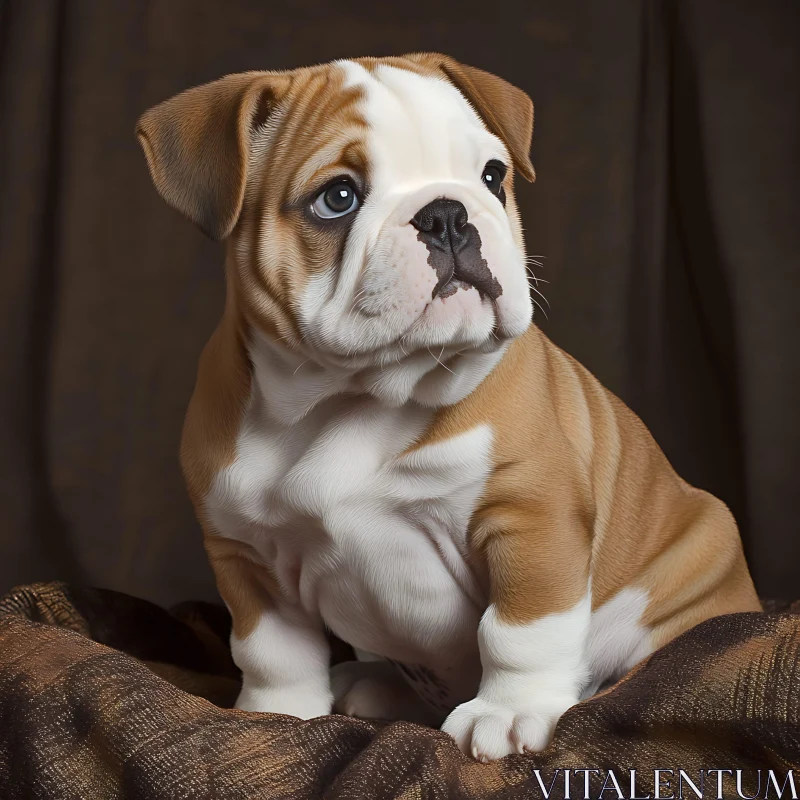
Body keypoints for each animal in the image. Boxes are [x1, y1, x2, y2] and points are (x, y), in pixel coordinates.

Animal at [139, 53, 764, 760]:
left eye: (493, 176)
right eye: (337, 198)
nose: (447, 214)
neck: (359, 394)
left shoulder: (529, 516)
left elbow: (519, 629)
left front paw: (512, 713)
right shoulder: (244, 552)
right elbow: (271, 650)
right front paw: (278, 714)